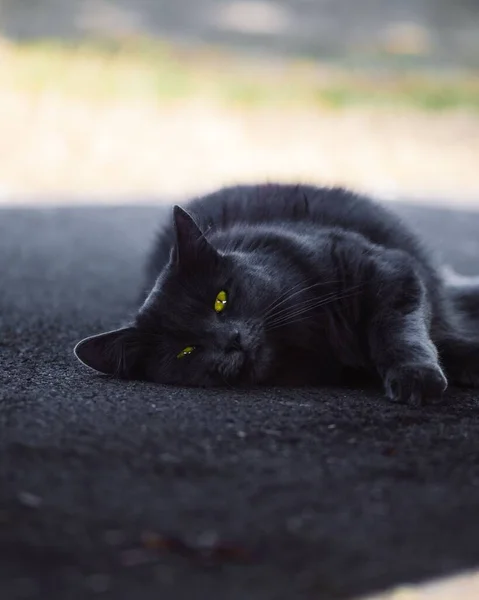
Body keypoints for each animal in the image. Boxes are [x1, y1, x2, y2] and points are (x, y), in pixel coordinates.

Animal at [73, 184, 479, 404]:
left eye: (221, 299)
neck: (308, 344)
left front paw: (416, 376)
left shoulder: (385, 268)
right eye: (186, 350)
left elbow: (398, 328)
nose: (231, 341)